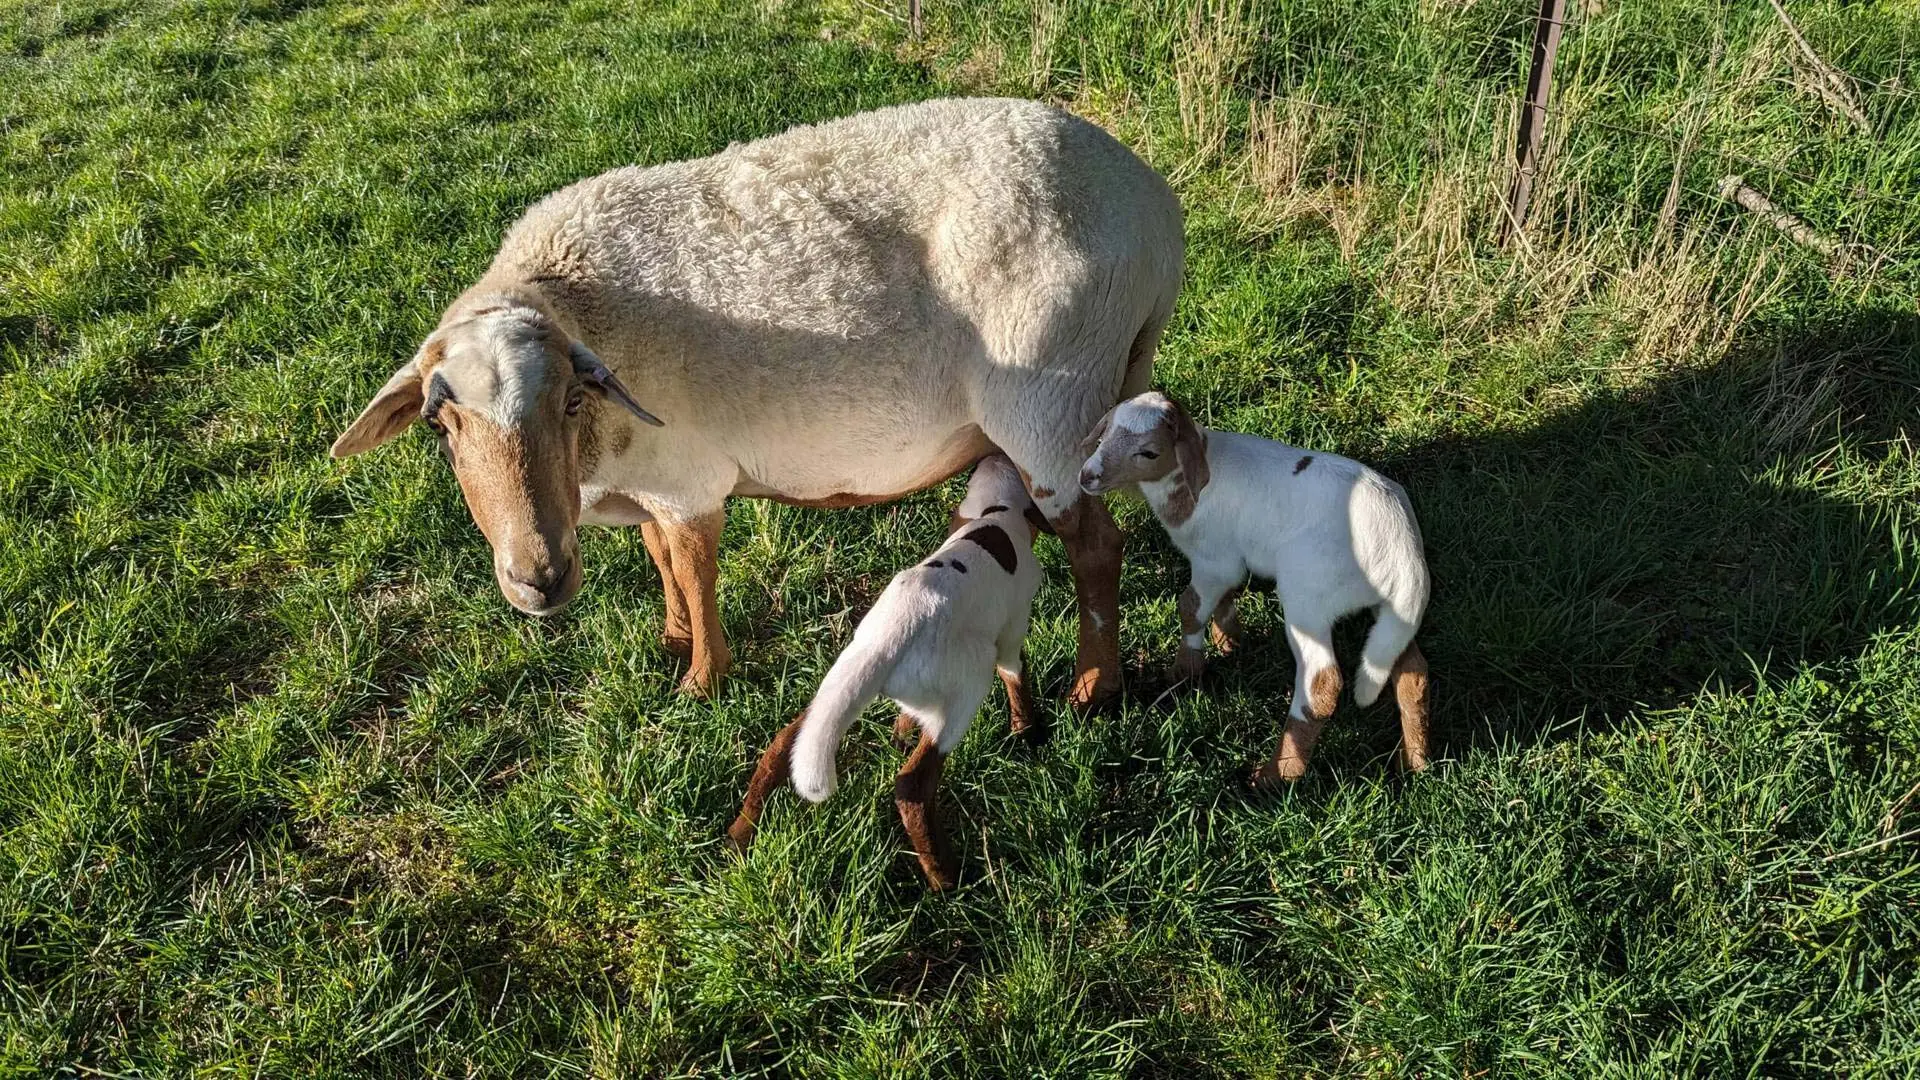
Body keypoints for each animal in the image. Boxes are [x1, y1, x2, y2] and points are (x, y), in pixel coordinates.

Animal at [328, 97, 1184, 707]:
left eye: (571, 401)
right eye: (440, 424)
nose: (538, 578)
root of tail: (1155, 206)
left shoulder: (690, 480)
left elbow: (694, 570)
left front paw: (701, 683)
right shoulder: (657, 474)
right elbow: (660, 558)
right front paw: (672, 638)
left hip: (1051, 393)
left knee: (1097, 547)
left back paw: (1095, 689)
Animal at [725, 454, 1044, 890]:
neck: (996, 513)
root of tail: (890, 636)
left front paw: (900, 734)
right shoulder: (1013, 628)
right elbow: (1015, 675)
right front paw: (1025, 730)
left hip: (839, 682)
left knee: (783, 743)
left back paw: (739, 834)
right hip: (968, 684)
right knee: (913, 786)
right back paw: (945, 879)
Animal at [1077, 392, 1432, 783]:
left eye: (1149, 452)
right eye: (1105, 433)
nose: (1087, 476)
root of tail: (1404, 553)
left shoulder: (1213, 560)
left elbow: (1190, 607)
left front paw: (1184, 673)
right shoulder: (1225, 559)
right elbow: (1222, 597)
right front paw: (1230, 641)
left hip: (1309, 597)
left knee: (1321, 685)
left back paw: (1274, 776)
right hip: (1390, 613)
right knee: (1411, 670)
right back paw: (1416, 761)